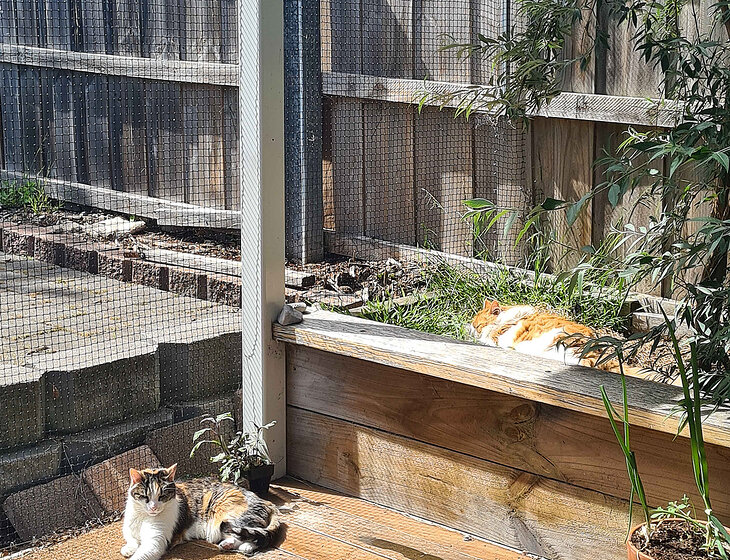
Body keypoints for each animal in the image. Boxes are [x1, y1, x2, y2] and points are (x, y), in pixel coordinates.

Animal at [121, 464, 280, 559]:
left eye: (162, 496)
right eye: (145, 497)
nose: (154, 507)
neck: (143, 517)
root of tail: (267, 502)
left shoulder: (156, 542)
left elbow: (142, 553)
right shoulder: (129, 528)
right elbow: (131, 539)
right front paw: (129, 548)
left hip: (231, 520)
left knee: (259, 535)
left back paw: (245, 546)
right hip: (221, 527)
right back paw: (228, 545)